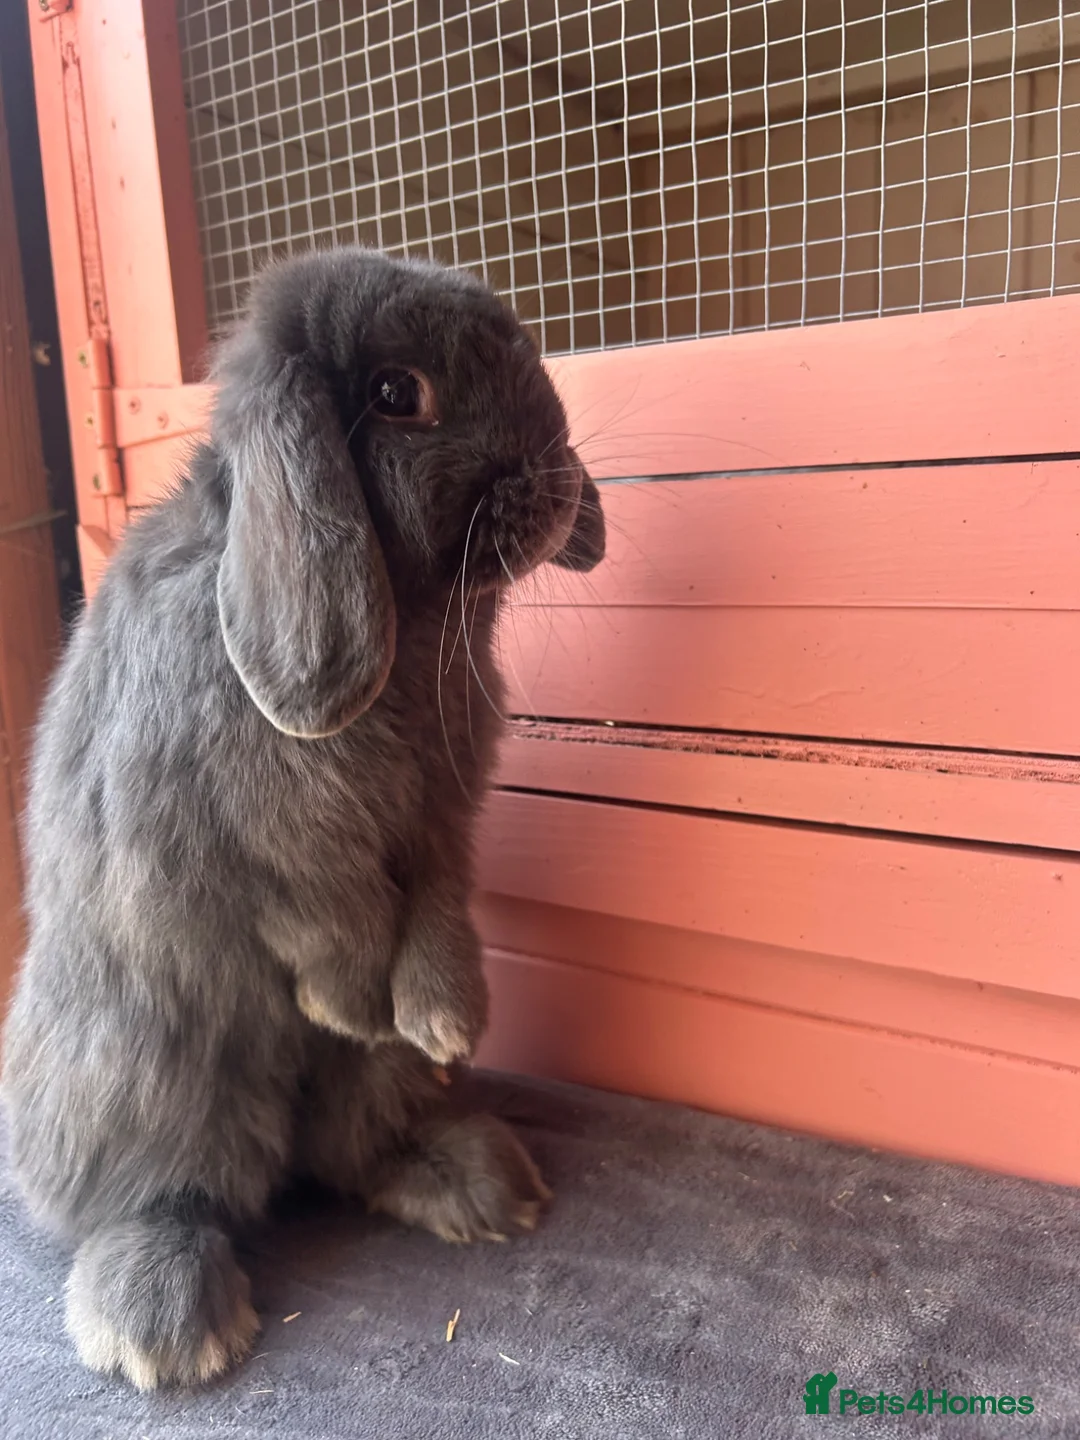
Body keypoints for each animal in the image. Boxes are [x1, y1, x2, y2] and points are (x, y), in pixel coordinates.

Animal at [1, 246, 605, 1390]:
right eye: (397, 394)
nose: (555, 486)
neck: (413, 626)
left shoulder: (445, 818)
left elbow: (435, 901)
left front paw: (445, 1017)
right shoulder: (252, 839)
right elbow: (321, 911)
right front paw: (351, 1002)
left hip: (359, 1094)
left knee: (346, 1152)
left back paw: (475, 1179)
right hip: (142, 1069)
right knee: (163, 1190)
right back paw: (163, 1324)